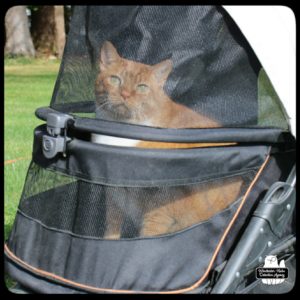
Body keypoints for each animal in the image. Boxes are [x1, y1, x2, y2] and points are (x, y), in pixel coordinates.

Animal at [92, 41, 243, 239]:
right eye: (115, 79)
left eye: (142, 87)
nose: (125, 94)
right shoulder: (113, 198)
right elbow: (111, 232)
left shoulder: (159, 210)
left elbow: (146, 240)